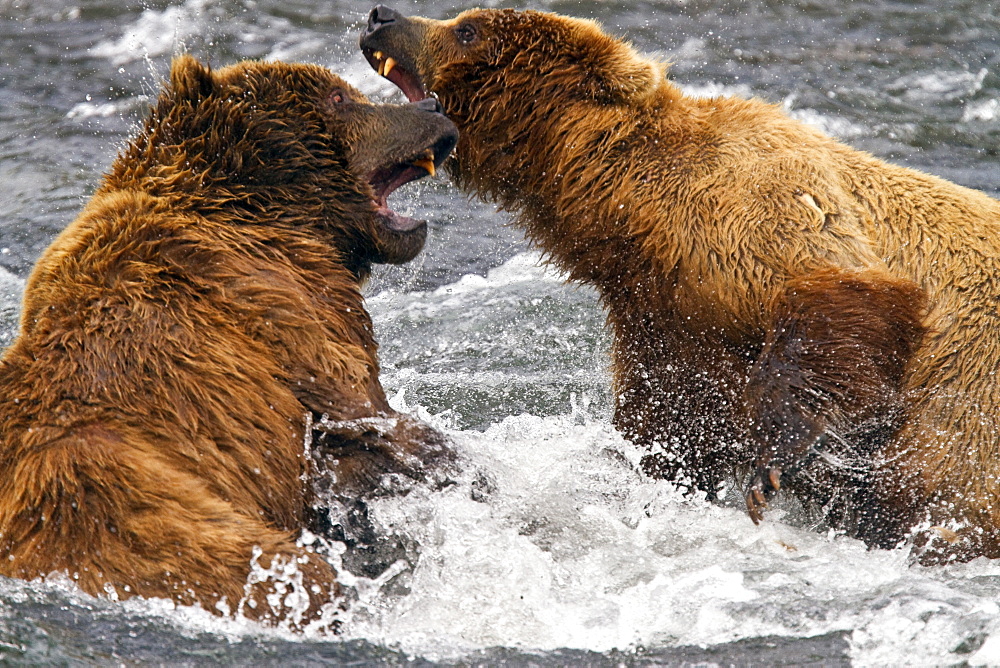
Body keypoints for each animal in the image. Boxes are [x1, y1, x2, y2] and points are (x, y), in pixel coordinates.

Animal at [0, 53, 458, 628]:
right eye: (339, 98)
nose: (433, 104)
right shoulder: (289, 307)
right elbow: (368, 422)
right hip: (150, 522)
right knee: (299, 575)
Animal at [360, 7, 1000, 560]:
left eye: (466, 29)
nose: (381, 16)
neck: (638, 215)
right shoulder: (666, 313)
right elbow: (671, 417)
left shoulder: (768, 212)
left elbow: (842, 303)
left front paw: (773, 467)